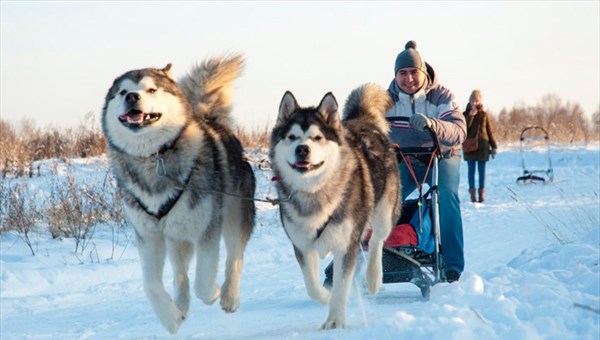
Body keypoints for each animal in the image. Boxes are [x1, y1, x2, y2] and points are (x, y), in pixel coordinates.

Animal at [101, 54, 255, 334]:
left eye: (151, 89)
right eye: (123, 92)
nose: (132, 97)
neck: (154, 159)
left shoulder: (208, 229)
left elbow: (203, 281)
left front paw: (214, 293)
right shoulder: (148, 236)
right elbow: (151, 284)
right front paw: (170, 318)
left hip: (234, 218)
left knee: (234, 259)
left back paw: (229, 296)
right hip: (175, 237)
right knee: (180, 276)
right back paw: (180, 307)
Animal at [270, 83, 400, 328]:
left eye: (317, 137)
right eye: (292, 137)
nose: (302, 149)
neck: (314, 192)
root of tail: (363, 121)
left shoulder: (346, 245)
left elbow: (341, 286)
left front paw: (335, 320)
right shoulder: (302, 244)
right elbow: (312, 286)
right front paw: (324, 296)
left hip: (384, 211)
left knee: (377, 240)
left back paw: (373, 277)